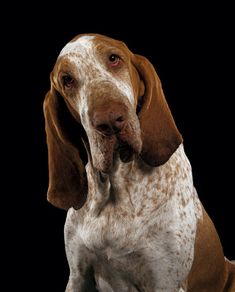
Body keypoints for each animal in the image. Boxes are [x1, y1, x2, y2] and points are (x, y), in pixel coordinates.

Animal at [43, 33, 234, 290]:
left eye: (114, 58)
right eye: (67, 80)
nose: (110, 120)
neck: (116, 191)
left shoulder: (164, 281)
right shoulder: (78, 275)